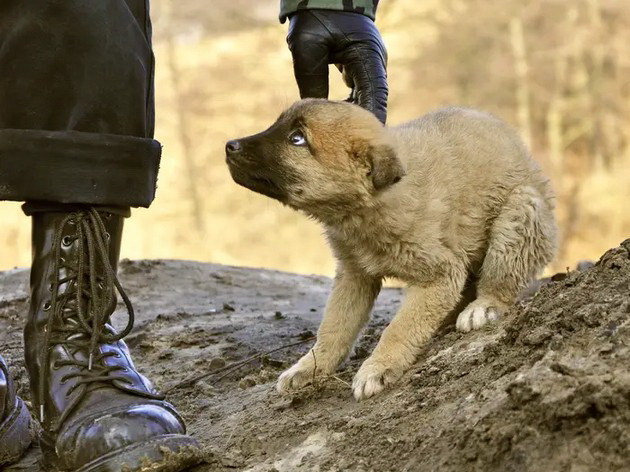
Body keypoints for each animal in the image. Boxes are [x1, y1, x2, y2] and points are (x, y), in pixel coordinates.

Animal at [226, 100, 556, 402]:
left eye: (297, 138)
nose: (230, 145)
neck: (366, 207)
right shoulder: (353, 276)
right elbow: (333, 327)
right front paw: (310, 367)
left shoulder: (438, 274)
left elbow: (398, 328)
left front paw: (377, 368)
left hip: (520, 210)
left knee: (501, 280)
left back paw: (482, 308)